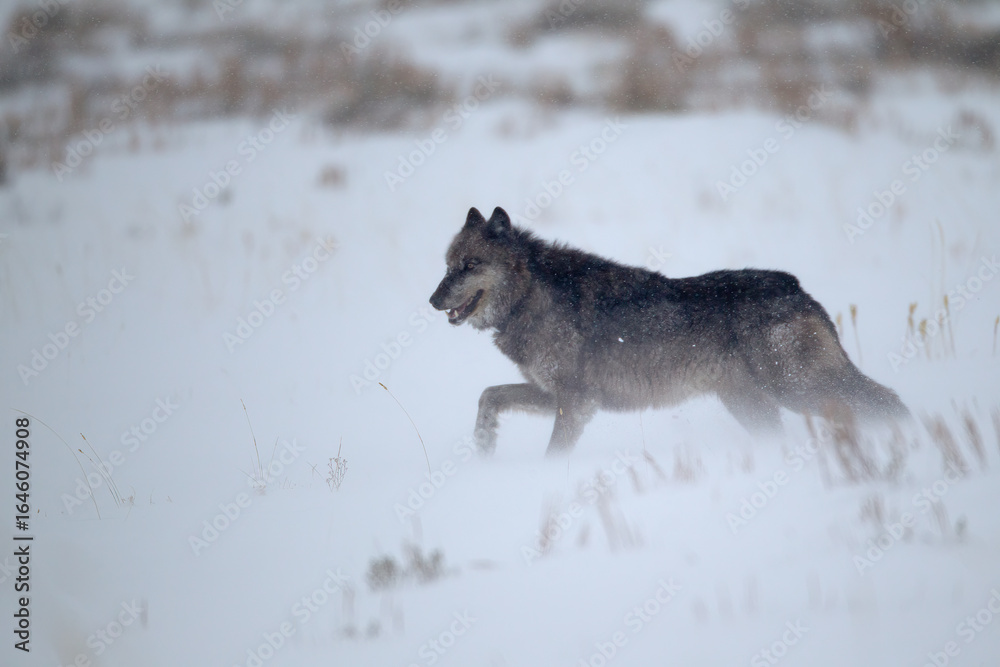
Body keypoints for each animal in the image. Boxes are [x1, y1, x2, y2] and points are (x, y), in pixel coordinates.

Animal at [430, 207, 909, 456]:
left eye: (470, 266)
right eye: (448, 266)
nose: (432, 301)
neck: (530, 297)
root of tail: (795, 285)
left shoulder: (576, 403)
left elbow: (553, 453)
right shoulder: (556, 396)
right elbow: (489, 395)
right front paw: (483, 444)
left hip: (802, 391)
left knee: (887, 403)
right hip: (755, 406)